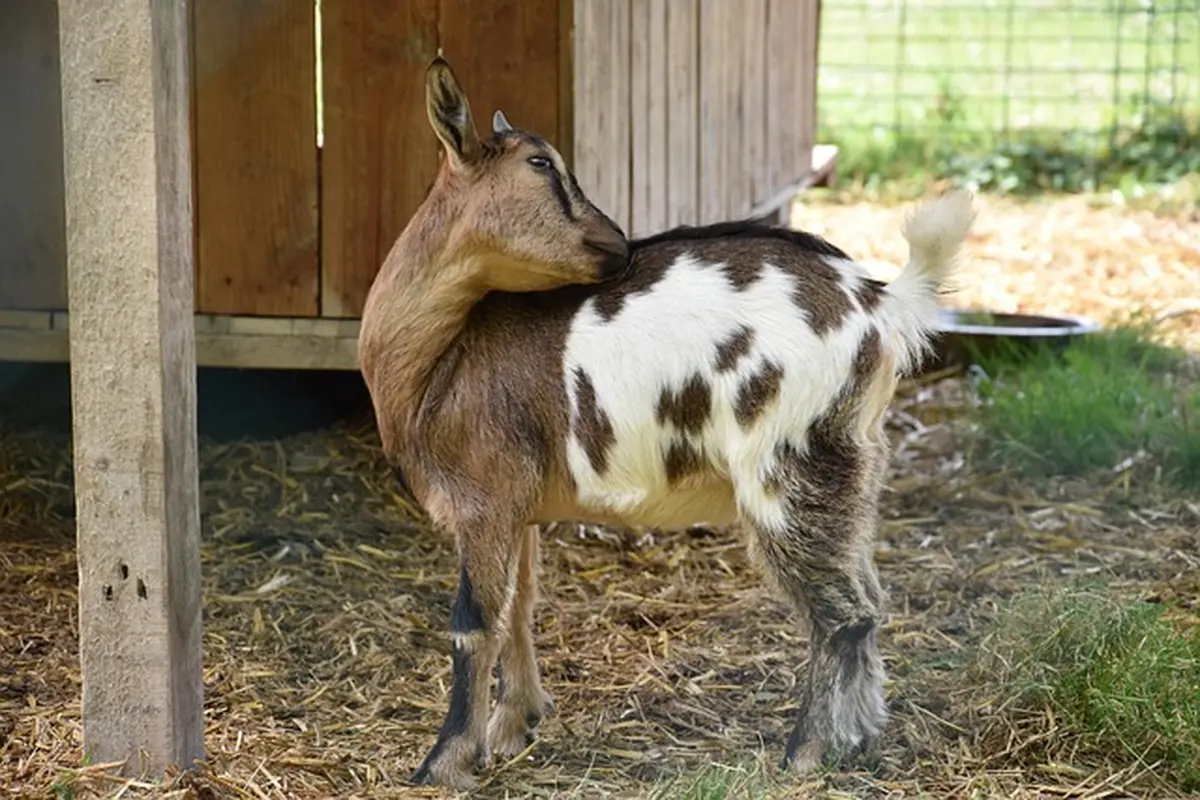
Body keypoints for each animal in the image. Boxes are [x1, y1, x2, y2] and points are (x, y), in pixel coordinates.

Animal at [357, 56, 977, 791]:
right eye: (540, 163)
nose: (619, 245)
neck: (441, 357)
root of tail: (880, 302)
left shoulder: (481, 500)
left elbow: (473, 623)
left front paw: (444, 761)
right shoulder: (518, 504)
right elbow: (519, 606)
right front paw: (515, 726)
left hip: (787, 464)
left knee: (842, 612)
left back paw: (804, 753)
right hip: (851, 465)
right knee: (870, 598)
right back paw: (859, 739)